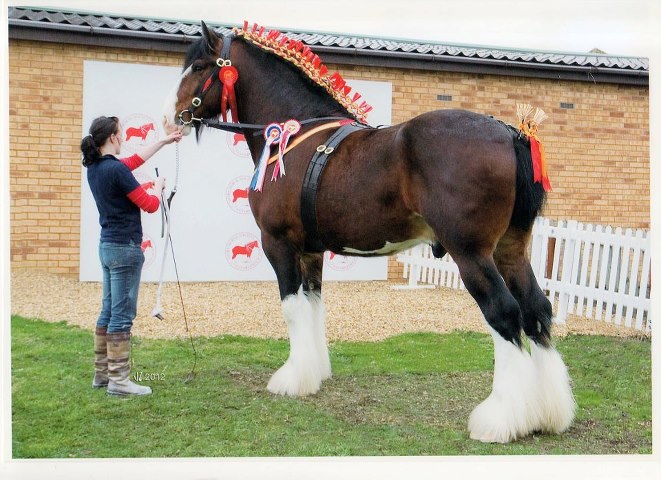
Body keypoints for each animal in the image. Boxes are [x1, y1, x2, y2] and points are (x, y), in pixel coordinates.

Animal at [162, 21, 576, 442]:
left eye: (199, 66)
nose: (169, 117)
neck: (295, 137)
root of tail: (510, 133)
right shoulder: (311, 251)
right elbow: (313, 306)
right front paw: (314, 373)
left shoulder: (278, 244)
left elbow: (292, 309)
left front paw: (291, 380)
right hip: (511, 250)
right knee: (536, 310)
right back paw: (548, 414)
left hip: (472, 254)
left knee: (504, 313)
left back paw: (499, 419)